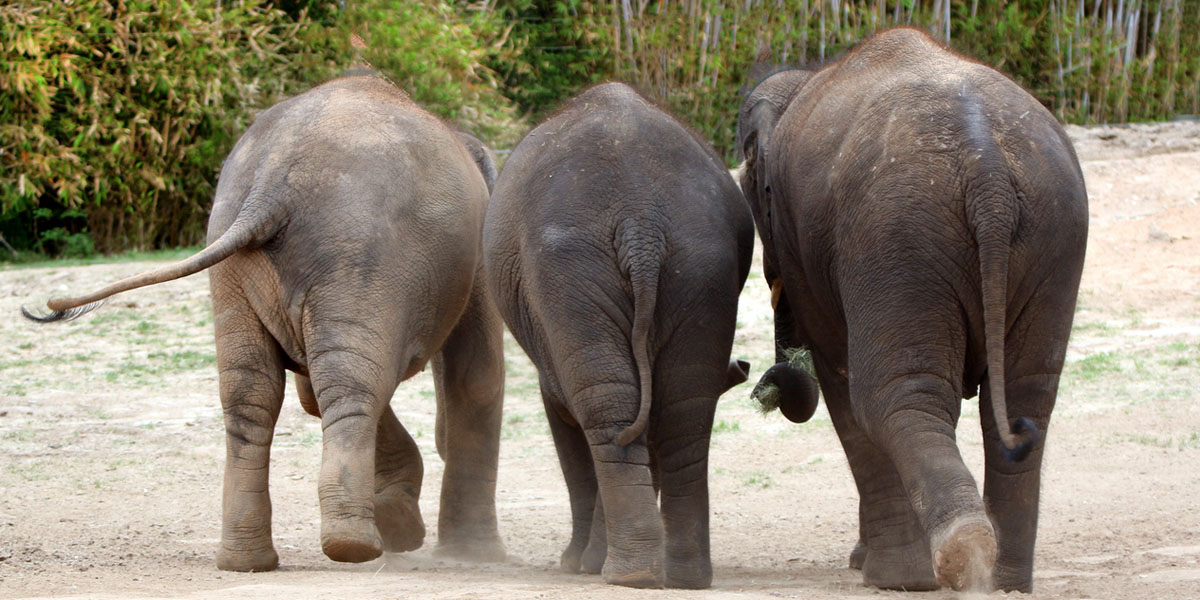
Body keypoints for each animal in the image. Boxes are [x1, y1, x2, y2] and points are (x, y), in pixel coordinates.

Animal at [21, 72, 506, 568]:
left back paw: (250, 559)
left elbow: (311, 389)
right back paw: (353, 547)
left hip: (236, 263)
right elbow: (475, 376)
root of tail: (270, 187)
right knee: (351, 384)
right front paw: (472, 554)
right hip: (360, 257)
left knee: (253, 393)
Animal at [482, 82, 753, 588]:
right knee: (684, 408)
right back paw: (680, 576)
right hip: (701, 261)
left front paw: (574, 564)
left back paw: (622, 572)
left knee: (607, 407)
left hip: (569, 267)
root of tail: (639, 220)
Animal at [734, 27, 1094, 590]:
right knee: (1026, 400)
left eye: (753, 192)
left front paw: (876, 571)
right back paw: (1002, 577)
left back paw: (941, 563)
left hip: (898, 234)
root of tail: (987, 170)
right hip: (1053, 230)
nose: (760, 380)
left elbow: (841, 382)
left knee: (892, 397)